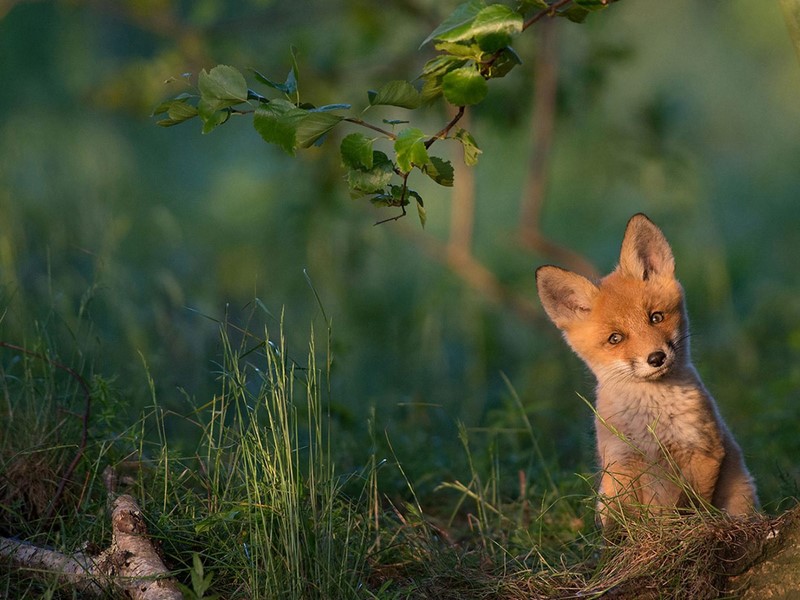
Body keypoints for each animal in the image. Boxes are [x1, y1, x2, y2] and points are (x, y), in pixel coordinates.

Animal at [536, 212, 756, 524]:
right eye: (615, 338)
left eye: (656, 317)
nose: (656, 358)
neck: (652, 424)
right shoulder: (620, 463)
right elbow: (626, 520)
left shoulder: (704, 451)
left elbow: (692, 506)